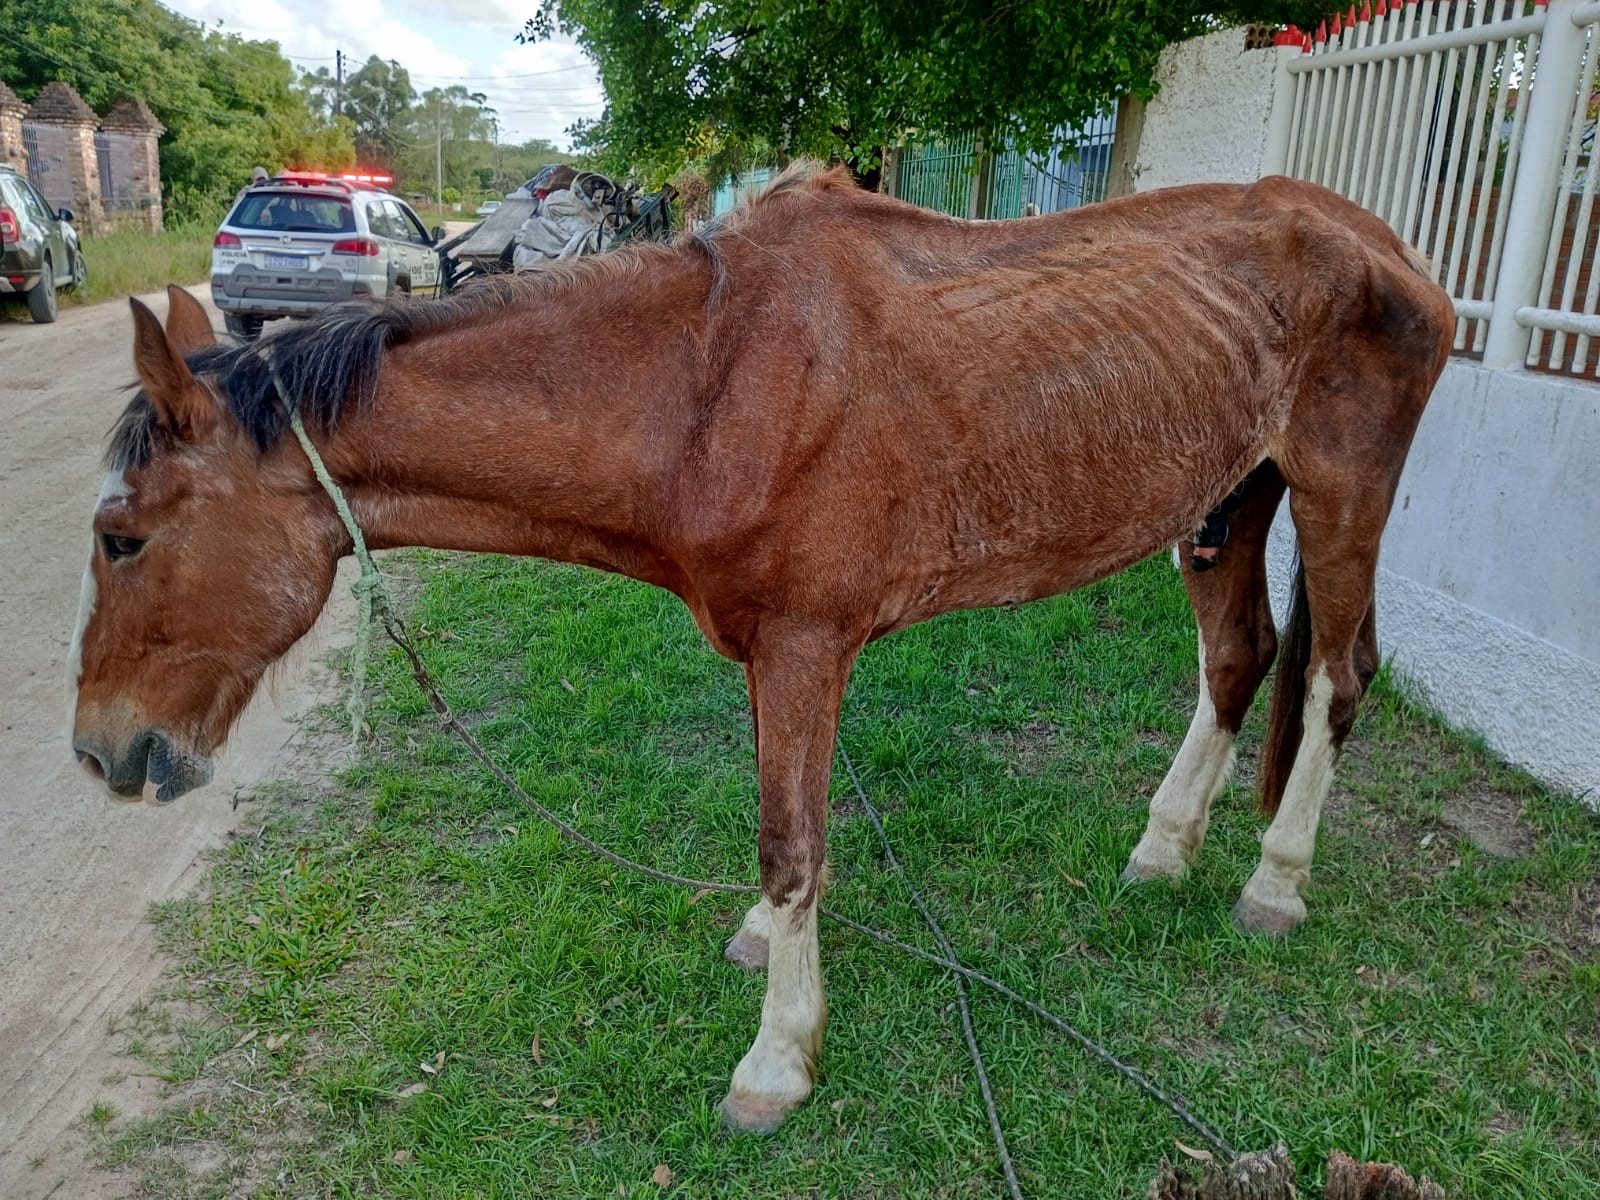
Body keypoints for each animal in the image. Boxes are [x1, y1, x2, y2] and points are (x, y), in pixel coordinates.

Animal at [68, 164, 1454, 1133]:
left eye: (122, 538)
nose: (103, 754)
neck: (705, 385)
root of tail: (1389, 249)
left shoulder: (804, 645)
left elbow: (793, 848)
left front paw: (777, 1061)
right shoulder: (772, 652)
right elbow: (783, 832)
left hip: (1338, 494)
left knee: (1333, 676)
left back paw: (1273, 879)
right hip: (1227, 504)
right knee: (1238, 660)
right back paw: (1164, 849)